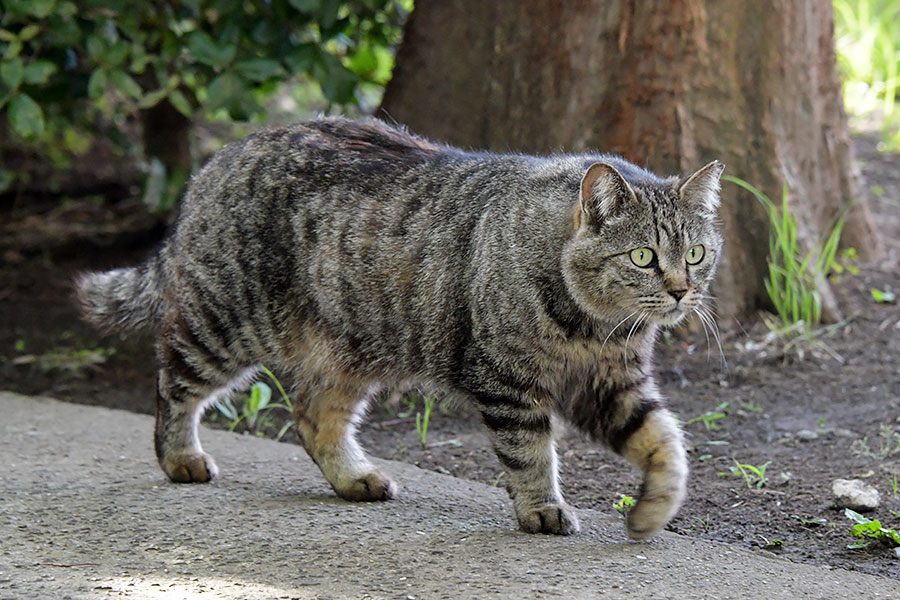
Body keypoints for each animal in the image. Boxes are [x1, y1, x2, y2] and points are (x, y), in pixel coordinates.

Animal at [77, 117, 724, 540]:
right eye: (643, 257)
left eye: (695, 254)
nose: (680, 290)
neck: (594, 327)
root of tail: (221, 156)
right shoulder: (506, 381)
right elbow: (530, 454)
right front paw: (542, 509)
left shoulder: (613, 385)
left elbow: (665, 442)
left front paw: (654, 509)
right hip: (225, 323)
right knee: (172, 380)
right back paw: (180, 457)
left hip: (348, 350)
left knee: (313, 418)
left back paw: (354, 478)